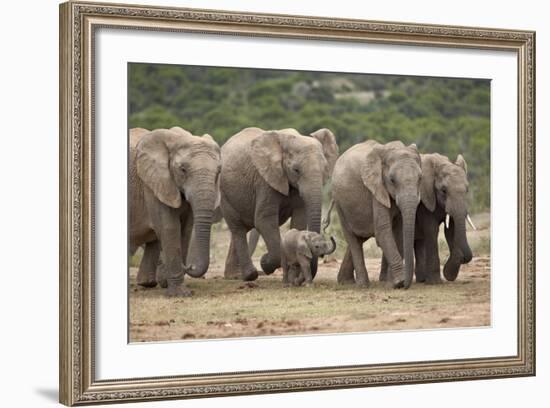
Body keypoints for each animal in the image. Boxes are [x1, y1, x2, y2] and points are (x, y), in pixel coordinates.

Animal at [129, 126, 222, 294]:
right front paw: (181, 293)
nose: (189, 266)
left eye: (219, 171)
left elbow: (185, 229)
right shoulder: (153, 184)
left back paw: (148, 283)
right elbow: (169, 227)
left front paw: (169, 284)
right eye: (183, 170)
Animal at [222, 126, 338, 280]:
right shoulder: (265, 180)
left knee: (242, 228)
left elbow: (299, 219)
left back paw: (234, 275)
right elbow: (264, 220)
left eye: (325, 169)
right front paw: (265, 263)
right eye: (296, 170)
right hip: (225, 193)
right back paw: (249, 275)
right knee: (238, 228)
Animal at [332, 142, 422, 288]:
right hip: (339, 202)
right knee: (352, 238)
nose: (406, 284)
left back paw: (345, 281)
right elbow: (383, 231)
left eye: (420, 178)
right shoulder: (376, 188)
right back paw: (362, 285)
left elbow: (398, 232)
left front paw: (392, 283)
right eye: (392, 180)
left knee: (360, 238)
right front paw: (399, 282)